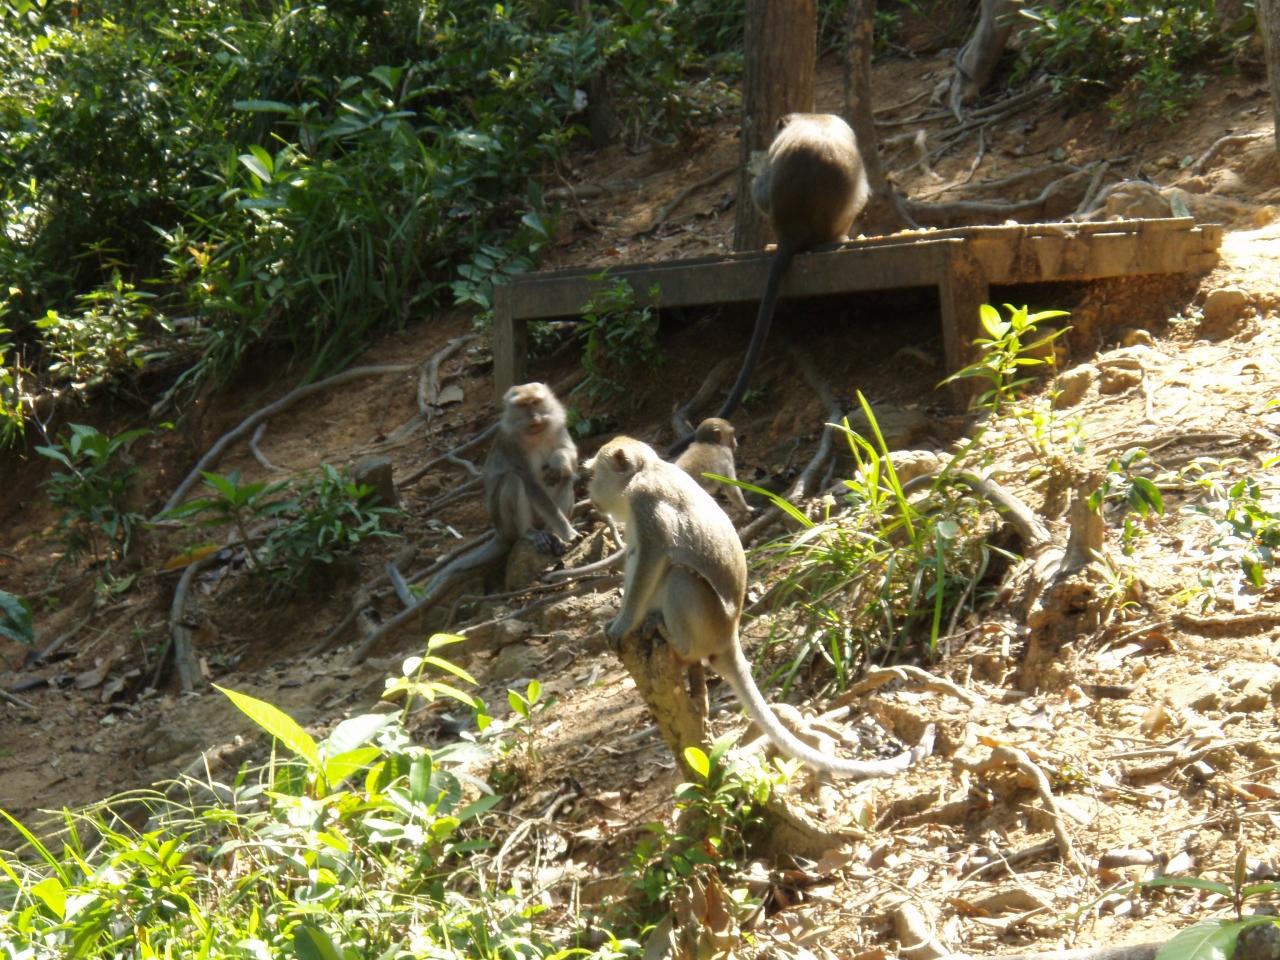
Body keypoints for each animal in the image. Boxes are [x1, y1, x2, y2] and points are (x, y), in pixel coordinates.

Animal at [589, 435, 933, 779]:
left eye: (594, 474)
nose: (592, 497)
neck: (646, 470)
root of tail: (729, 635)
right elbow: (636, 557)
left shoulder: (644, 500)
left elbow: (652, 556)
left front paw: (624, 624)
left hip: (707, 618)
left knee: (680, 575)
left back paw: (675, 640)